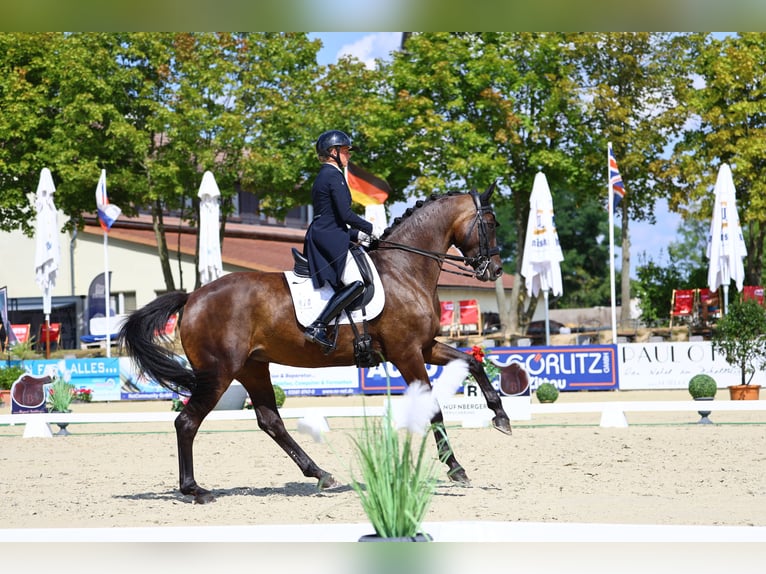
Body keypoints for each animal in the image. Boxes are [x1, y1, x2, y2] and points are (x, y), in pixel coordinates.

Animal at [120, 184, 512, 504]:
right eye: (491, 223)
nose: (493, 269)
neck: (405, 269)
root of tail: (193, 297)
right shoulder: (407, 353)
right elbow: (433, 409)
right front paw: (455, 467)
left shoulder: (426, 346)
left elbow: (473, 362)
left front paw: (501, 417)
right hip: (218, 372)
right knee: (187, 422)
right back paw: (195, 490)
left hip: (252, 367)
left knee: (270, 421)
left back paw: (320, 474)